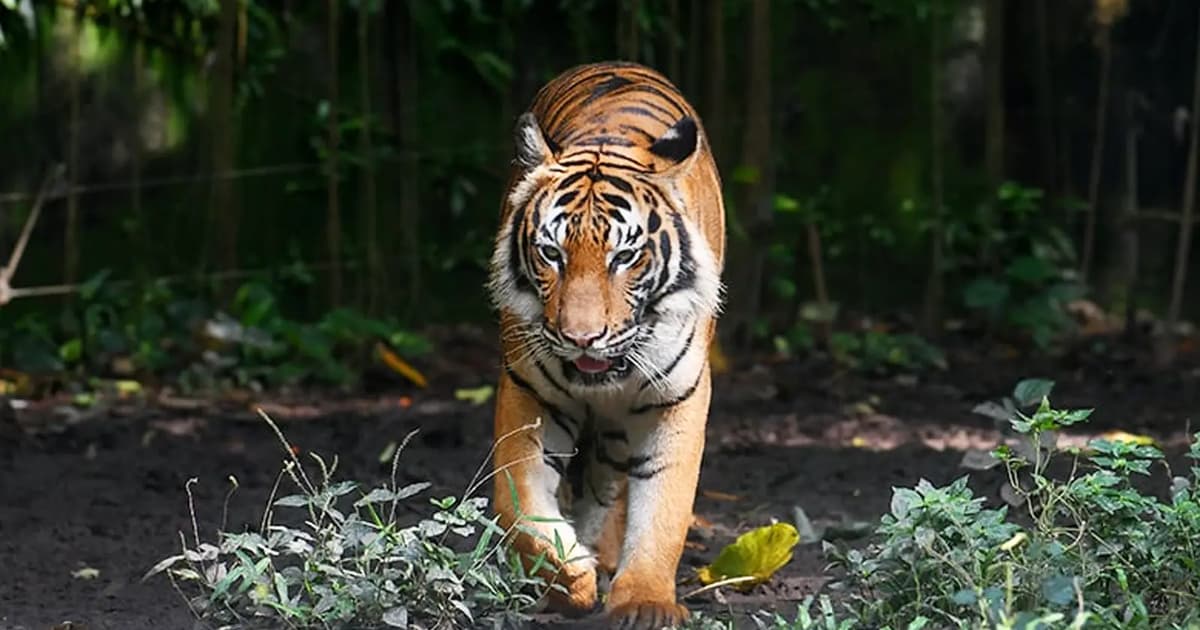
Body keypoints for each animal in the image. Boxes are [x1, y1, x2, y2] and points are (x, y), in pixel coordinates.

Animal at [487, 61, 725, 628]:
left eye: (625, 257)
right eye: (551, 253)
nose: (581, 338)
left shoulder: (678, 399)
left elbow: (664, 508)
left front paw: (643, 601)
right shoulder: (528, 391)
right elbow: (516, 503)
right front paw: (568, 578)